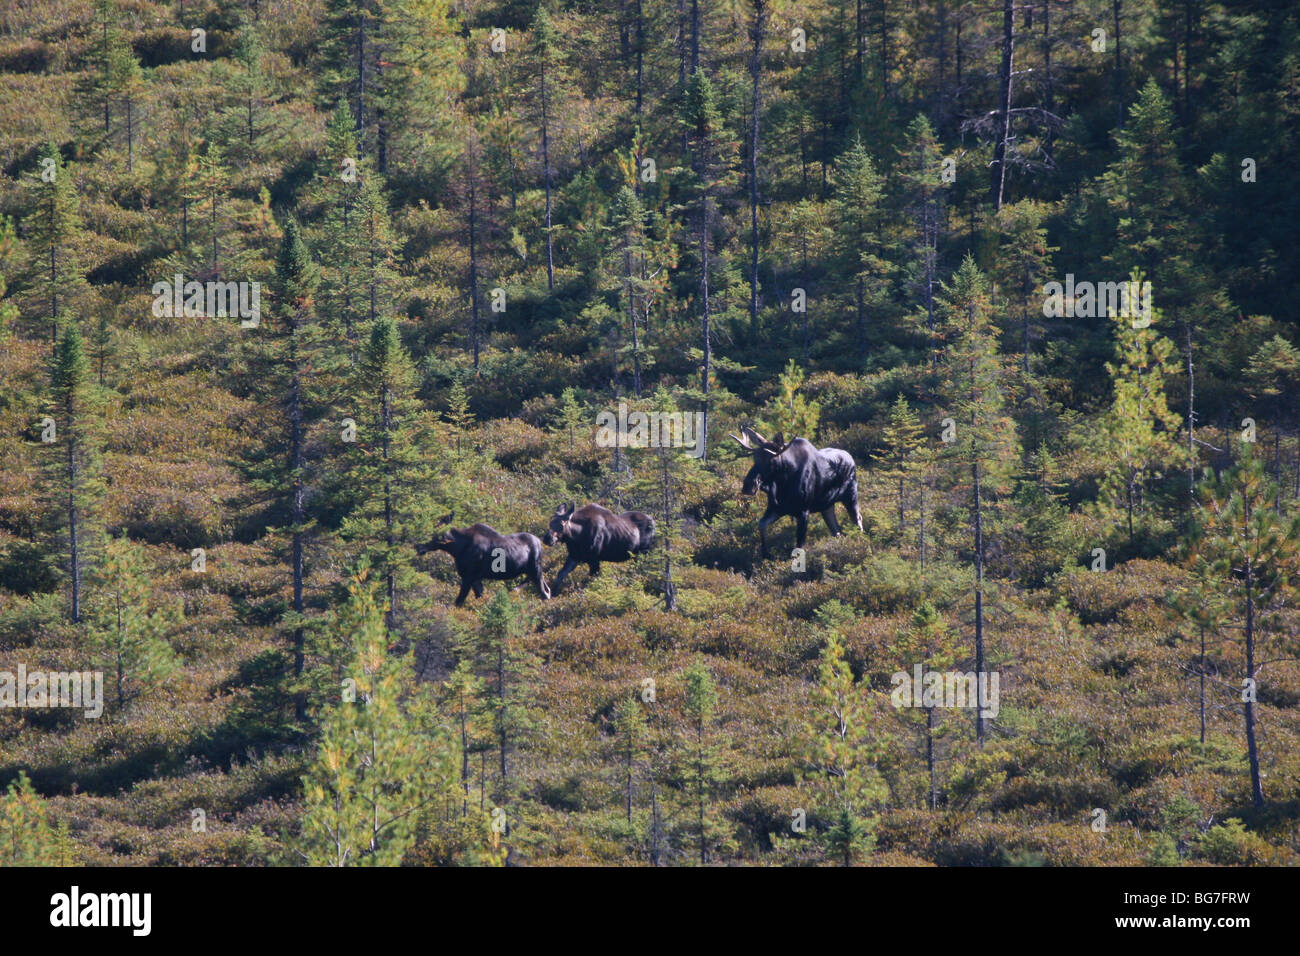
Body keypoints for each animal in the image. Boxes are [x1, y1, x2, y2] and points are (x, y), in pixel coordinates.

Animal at [416, 515, 548, 606]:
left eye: (434, 536)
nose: (418, 547)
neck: (457, 548)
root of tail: (540, 543)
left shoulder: (468, 576)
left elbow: (459, 601)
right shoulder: (475, 578)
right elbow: (479, 597)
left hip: (535, 569)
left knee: (544, 593)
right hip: (533, 572)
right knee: (547, 589)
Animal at [733, 429, 863, 561]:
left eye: (771, 461)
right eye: (755, 458)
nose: (748, 486)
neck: (783, 482)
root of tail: (852, 459)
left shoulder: (803, 511)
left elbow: (799, 545)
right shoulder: (777, 508)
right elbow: (761, 524)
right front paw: (766, 554)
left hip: (850, 495)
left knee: (857, 518)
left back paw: (860, 540)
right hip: (826, 506)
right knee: (836, 530)